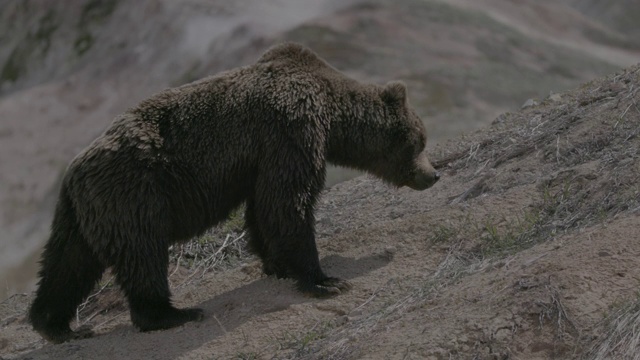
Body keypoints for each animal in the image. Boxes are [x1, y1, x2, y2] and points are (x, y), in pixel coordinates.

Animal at [27, 42, 438, 344]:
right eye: (419, 140)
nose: (432, 175)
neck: (331, 114)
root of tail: (73, 173)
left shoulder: (262, 158)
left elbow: (264, 208)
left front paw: (276, 264)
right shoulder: (292, 131)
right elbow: (289, 201)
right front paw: (325, 279)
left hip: (83, 213)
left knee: (67, 263)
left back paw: (56, 325)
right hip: (135, 194)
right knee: (142, 255)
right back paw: (172, 313)